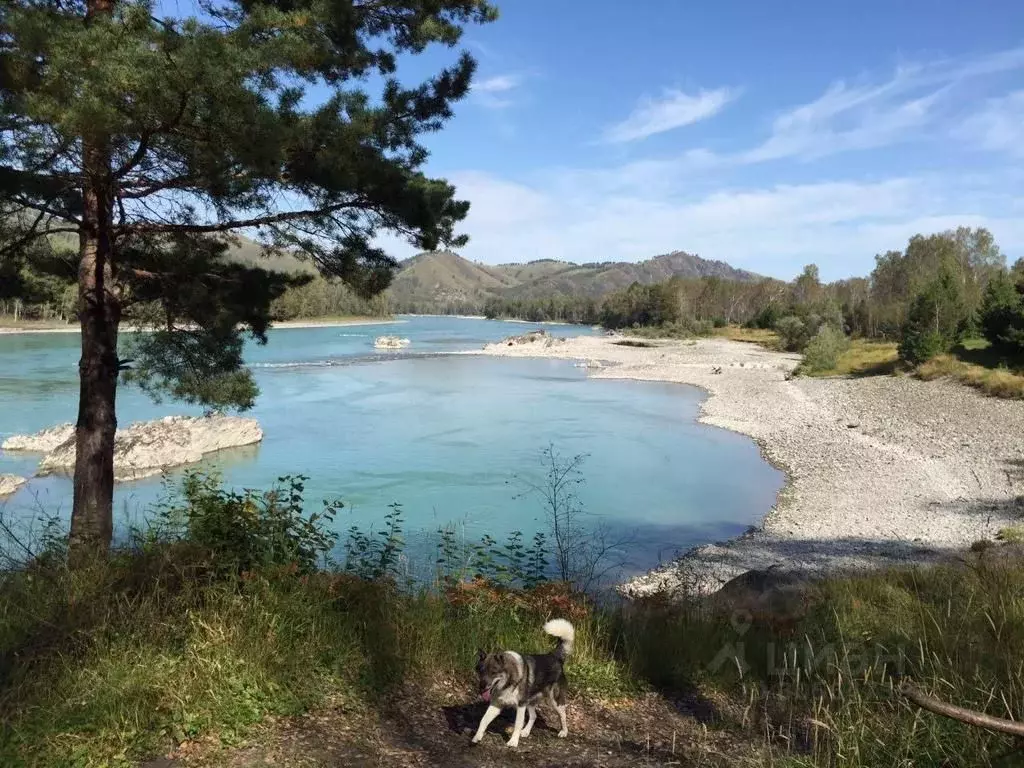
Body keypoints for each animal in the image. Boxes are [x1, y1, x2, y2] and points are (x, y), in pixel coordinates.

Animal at [471, 618, 577, 753]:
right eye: (480, 671)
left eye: (493, 672)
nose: (482, 687)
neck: (508, 681)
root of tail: (554, 656)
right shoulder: (496, 704)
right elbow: (483, 720)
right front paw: (477, 736)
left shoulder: (520, 705)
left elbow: (517, 724)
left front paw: (513, 742)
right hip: (530, 701)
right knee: (534, 716)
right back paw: (525, 732)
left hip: (554, 701)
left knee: (563, 715)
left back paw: (564, 732)